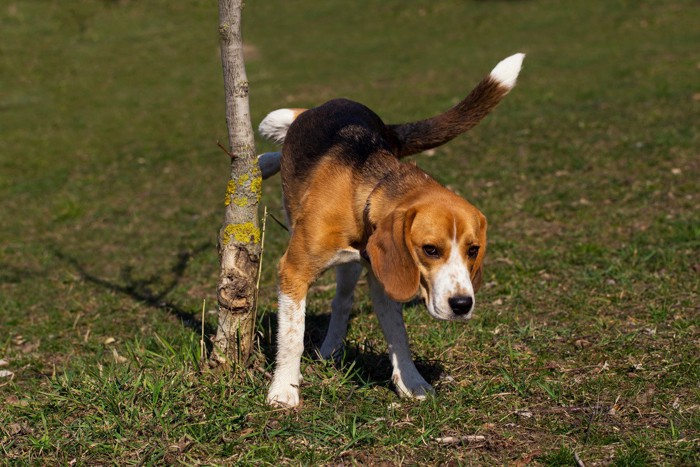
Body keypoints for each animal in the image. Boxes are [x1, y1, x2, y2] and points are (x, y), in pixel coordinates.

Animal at [260, 53, 524, 408]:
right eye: (430, 249)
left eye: (473, 250)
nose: (462, 304)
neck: (366, 191)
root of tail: (330, 102)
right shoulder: (293, 270)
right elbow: (292, 337)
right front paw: (284, 389)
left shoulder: (386, 278)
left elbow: (398, 335)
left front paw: (412, 383)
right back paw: (264, 161)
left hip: (350, 268)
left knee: (342, 302)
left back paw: (331, 348)